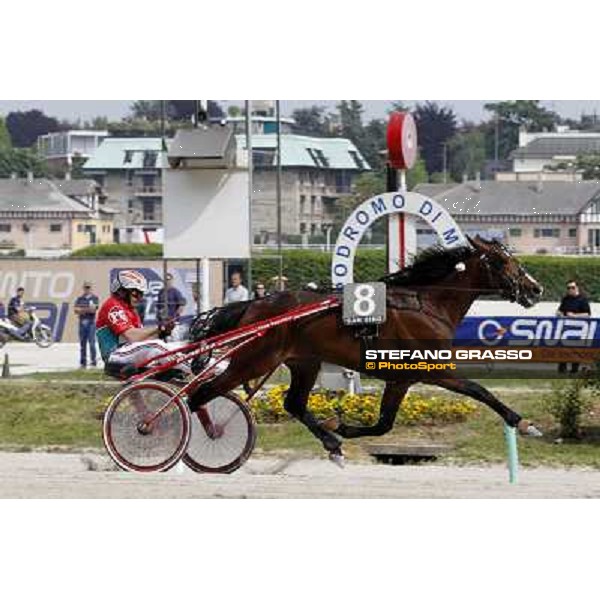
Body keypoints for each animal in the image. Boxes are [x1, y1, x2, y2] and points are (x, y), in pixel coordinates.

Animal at [190, 237, 548, 462]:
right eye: (502, 261)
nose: (535, 288)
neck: (426, 304)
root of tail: (253, 305)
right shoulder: (432, 370)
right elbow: (479, 390)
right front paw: (524, 423)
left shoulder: (400, 379)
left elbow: (384, 424)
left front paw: (339, 427)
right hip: (254, 360)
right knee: (199, 395)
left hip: (305, 362)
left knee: (293, 403)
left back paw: (332, 444)